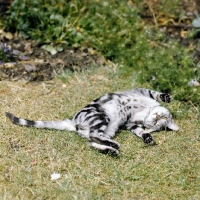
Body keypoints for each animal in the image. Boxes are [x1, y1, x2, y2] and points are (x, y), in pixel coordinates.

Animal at [5, 88, 178, 155]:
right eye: (161, 118)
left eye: (157, 125)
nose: (156, 118)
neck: (144, 113)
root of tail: (73, 121)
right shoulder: (140, 91)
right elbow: (155, 93)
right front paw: (167, 97)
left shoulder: (130, 124)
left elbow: (140, 131)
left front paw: (148, 137)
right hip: (102, 117)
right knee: (94, 137)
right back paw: (113, 147)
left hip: (107, 128)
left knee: (93, 141)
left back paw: (111, 150)